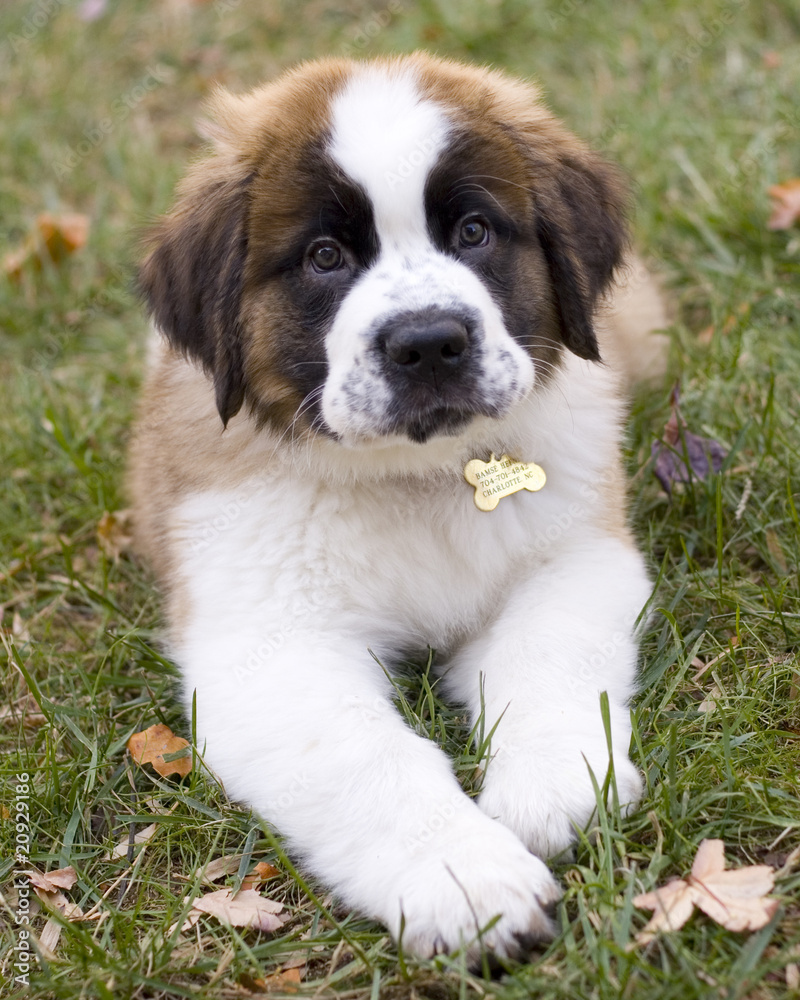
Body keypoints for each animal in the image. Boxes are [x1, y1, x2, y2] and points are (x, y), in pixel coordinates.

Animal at [133, 52, 668, 960]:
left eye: (475, 233)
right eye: (323, 256)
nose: (428, 343)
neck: (413, 479)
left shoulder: (577, 556)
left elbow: (546, 655)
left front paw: (549, 785)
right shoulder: (269, 650)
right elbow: (368, 760)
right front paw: (465, 878)